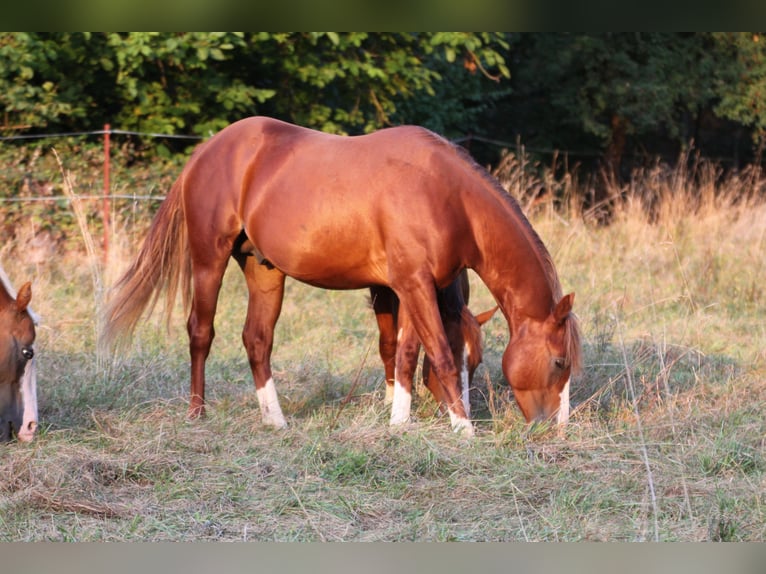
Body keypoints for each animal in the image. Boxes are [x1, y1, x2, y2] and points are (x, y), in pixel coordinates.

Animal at [100, 119, 584, 438]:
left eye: (480, 361)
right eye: (559, 362)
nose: (555, 429)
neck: (447, 197)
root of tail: (206, 150)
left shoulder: (410, 287)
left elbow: (405, 353)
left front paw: (398, 418)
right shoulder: (413, 286)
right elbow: (436, 354)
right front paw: (461, 430)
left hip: (263, 270)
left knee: (257, 339)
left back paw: (275, 420)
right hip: (208, 260)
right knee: (200, 332)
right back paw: (197, 414)